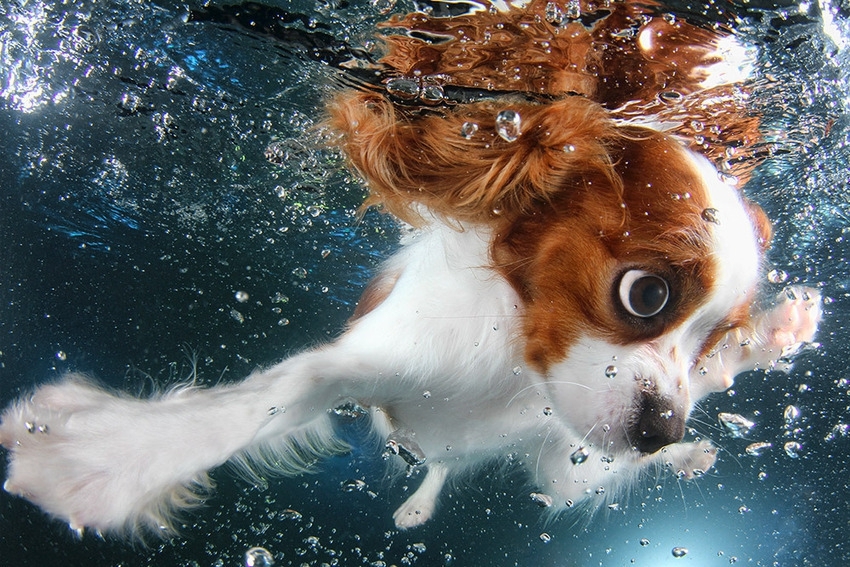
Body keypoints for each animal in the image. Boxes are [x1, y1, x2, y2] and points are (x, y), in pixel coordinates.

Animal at [0, 0, 820, 540]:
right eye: (647, 294)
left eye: (710, 333)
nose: (660, 429)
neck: (516, 367)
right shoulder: (385, 357)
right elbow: (274, 394)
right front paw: (102, 454)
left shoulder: (569, 452)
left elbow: (612, 451)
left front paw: (742, 353)